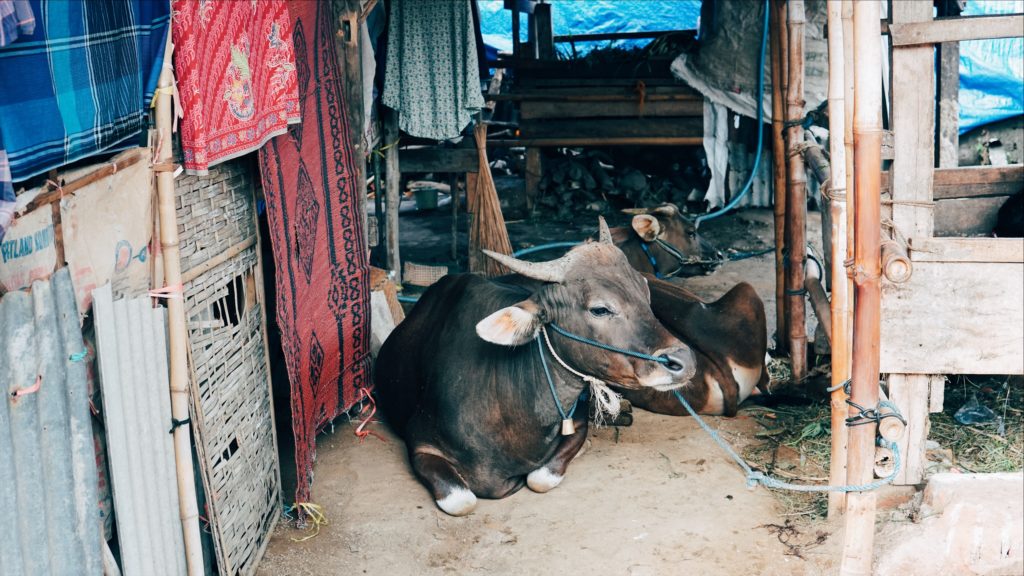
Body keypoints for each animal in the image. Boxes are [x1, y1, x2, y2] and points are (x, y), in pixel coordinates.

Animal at [376, 220, 696, 516]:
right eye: (600, 309)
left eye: (645, 292)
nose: (684, 361)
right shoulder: (420, 443)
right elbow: (462, 501)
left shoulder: (576, 424)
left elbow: (540, 478)